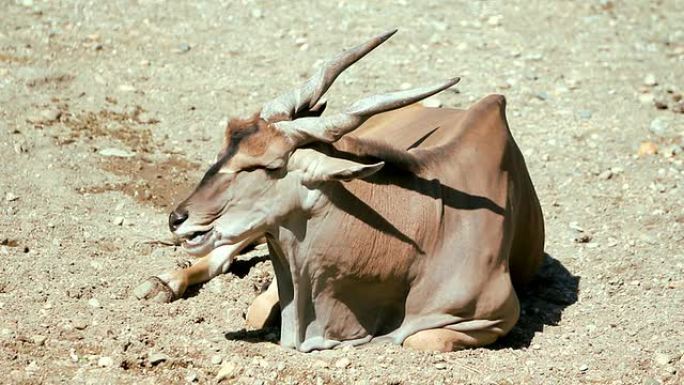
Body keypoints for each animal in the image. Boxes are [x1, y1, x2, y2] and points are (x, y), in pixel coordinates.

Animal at [135, 30, 544, 352]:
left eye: (267, 166)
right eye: (223, 149)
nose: (178, 218)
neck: (426, 232)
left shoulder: (498, 316)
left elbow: (420, 338)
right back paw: (162, 282)